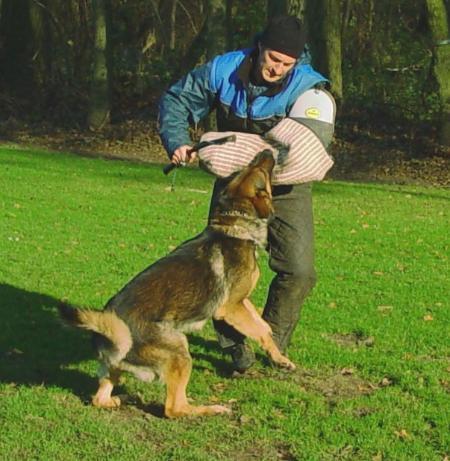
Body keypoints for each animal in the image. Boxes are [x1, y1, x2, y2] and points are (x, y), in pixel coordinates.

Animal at [59, 151, 298, 416]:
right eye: (262, 172)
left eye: (248, 166)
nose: (266, 151)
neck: (235, 223)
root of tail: (109, 336)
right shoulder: (230, 308)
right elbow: (257, 328)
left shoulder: (241, 302)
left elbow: (263, 328)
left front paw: (280, 357)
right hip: (179, 351)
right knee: (174, 408)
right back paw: (211, 409)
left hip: (124, 366)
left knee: (100, 397)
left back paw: (116, 399)